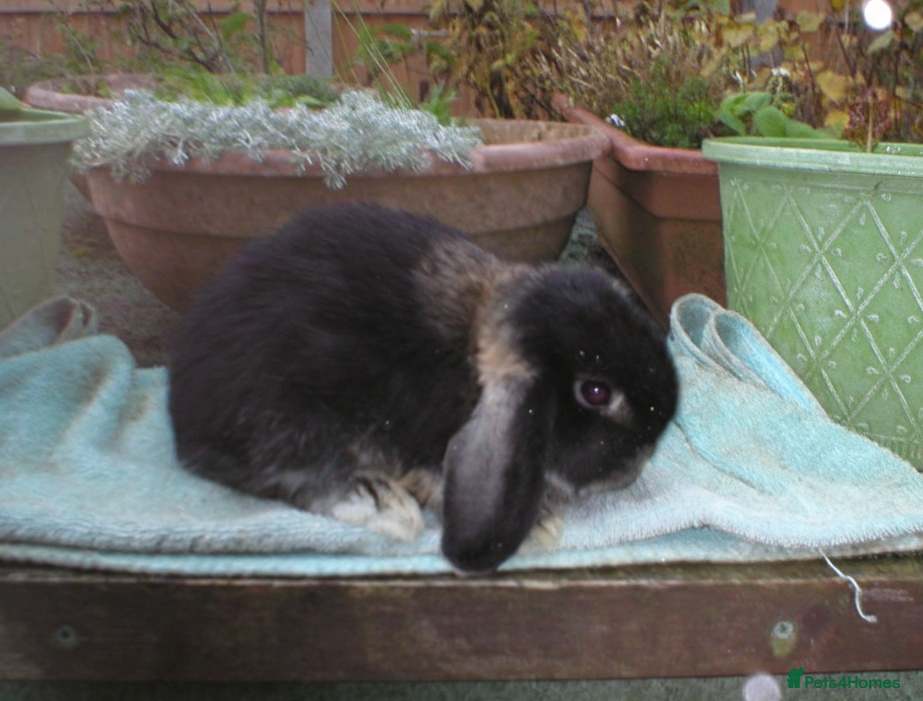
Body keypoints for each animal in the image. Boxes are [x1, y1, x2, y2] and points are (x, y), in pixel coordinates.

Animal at [168, 202, 678, 573]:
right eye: (595, 393)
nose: (636, 466)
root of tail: (181, 403)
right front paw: (539, 525)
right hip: (286, 419)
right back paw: (377, 501)